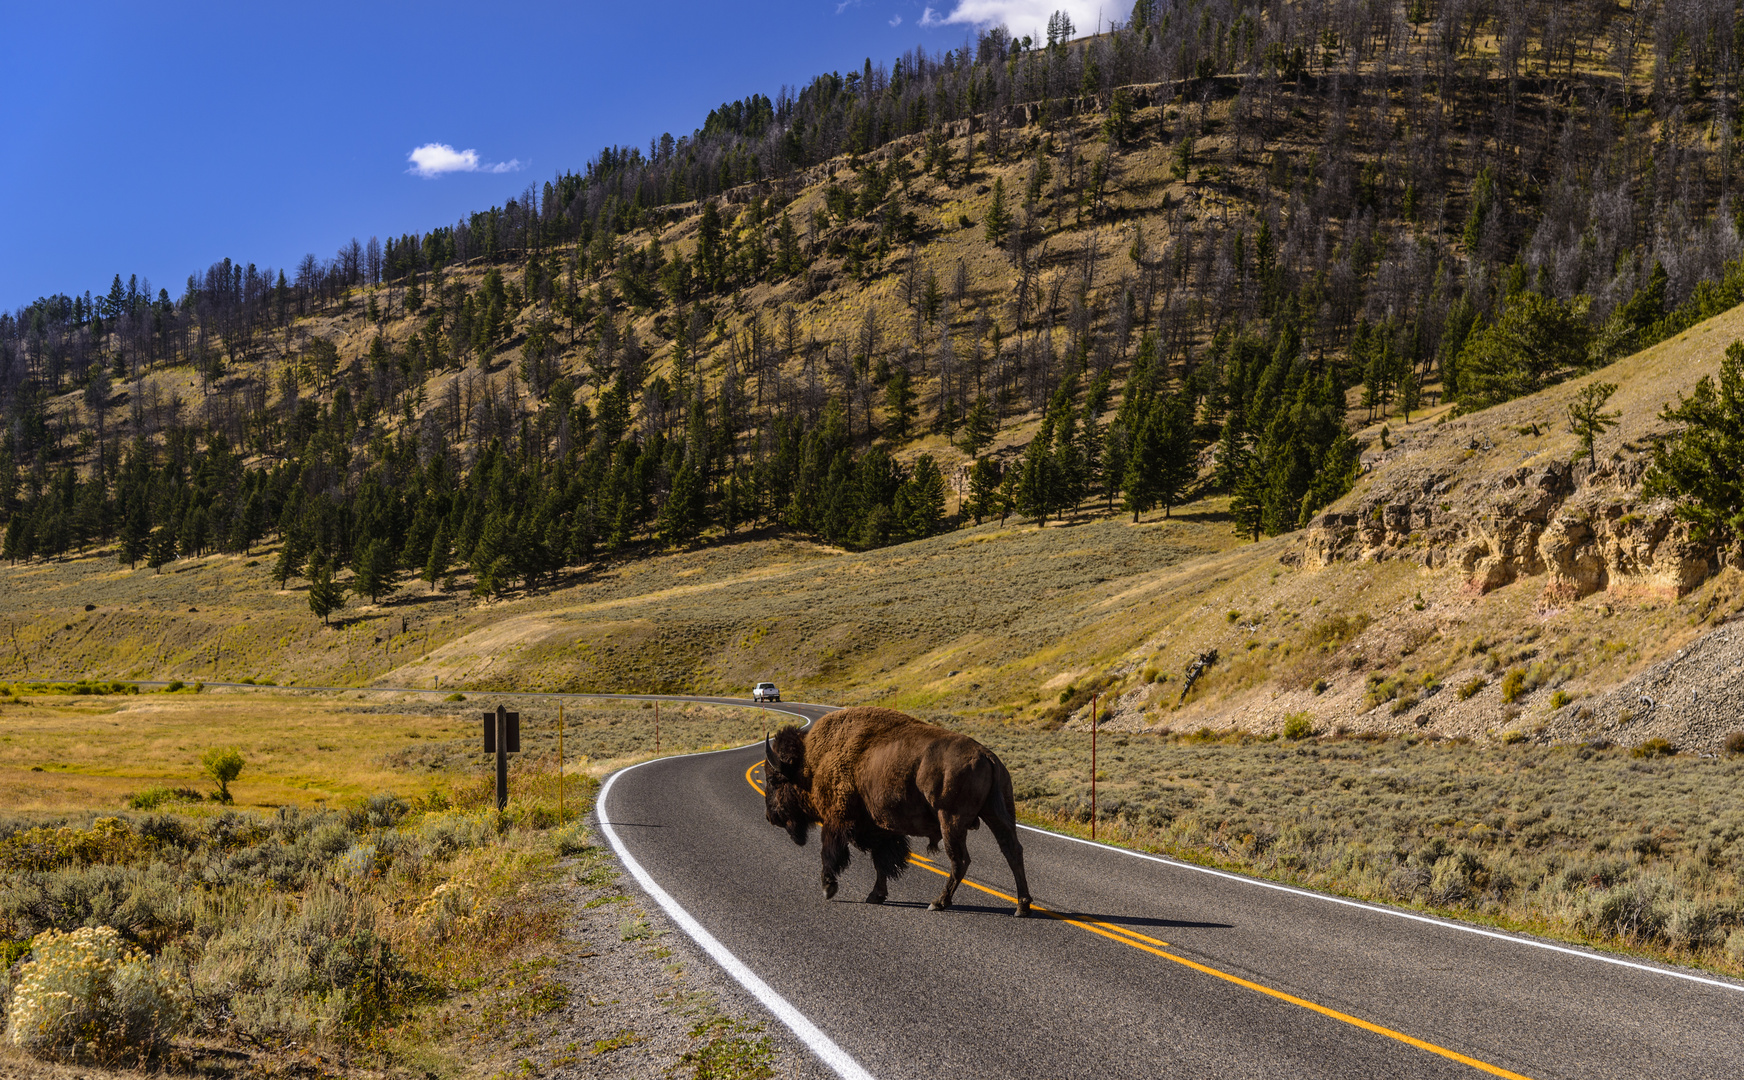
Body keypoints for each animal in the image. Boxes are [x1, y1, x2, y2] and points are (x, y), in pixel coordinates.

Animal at [763, 708, 1032, 921]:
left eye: (775, 781)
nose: (770, 817)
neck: (811, 764)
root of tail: (987, 755)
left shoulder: (837, 819)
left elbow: (830, 852)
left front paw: (828, 888)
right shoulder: (880, 830)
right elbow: (881, 862)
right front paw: (875, 895)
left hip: (950, 820)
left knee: (960, 860)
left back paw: (937, 903)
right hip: (998, 814)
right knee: (1012, 851)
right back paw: (1022, 907)